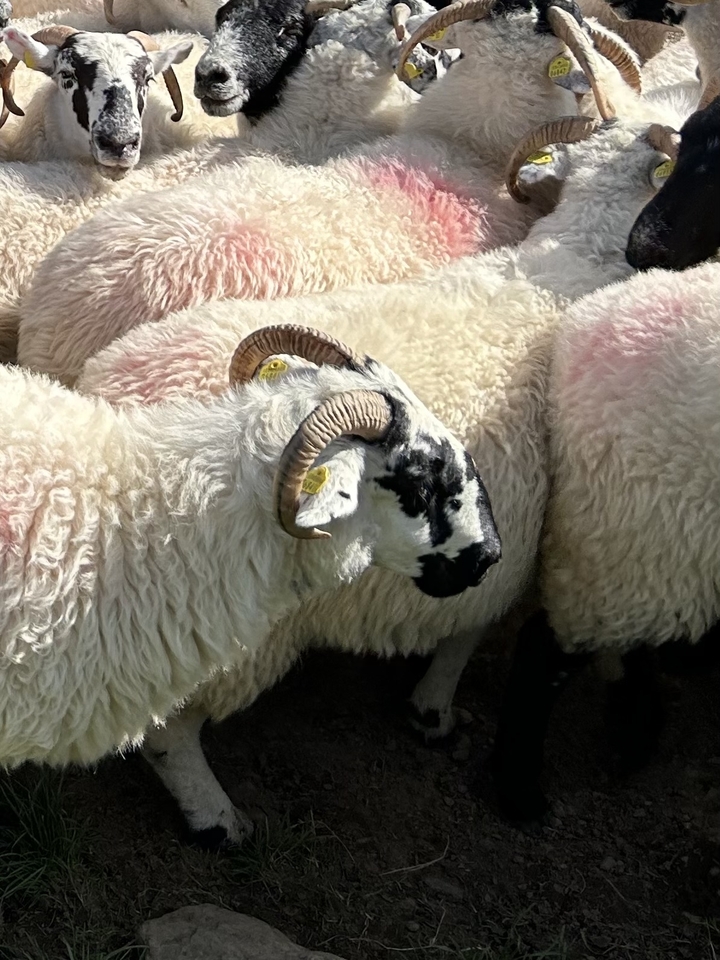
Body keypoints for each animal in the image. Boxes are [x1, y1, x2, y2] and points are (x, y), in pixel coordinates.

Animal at [72, 95, 694, 844]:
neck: (568, 267)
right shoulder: (509, 543)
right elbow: (466, 634)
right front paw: (433, 711)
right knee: (168, 729)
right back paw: (216, 817)